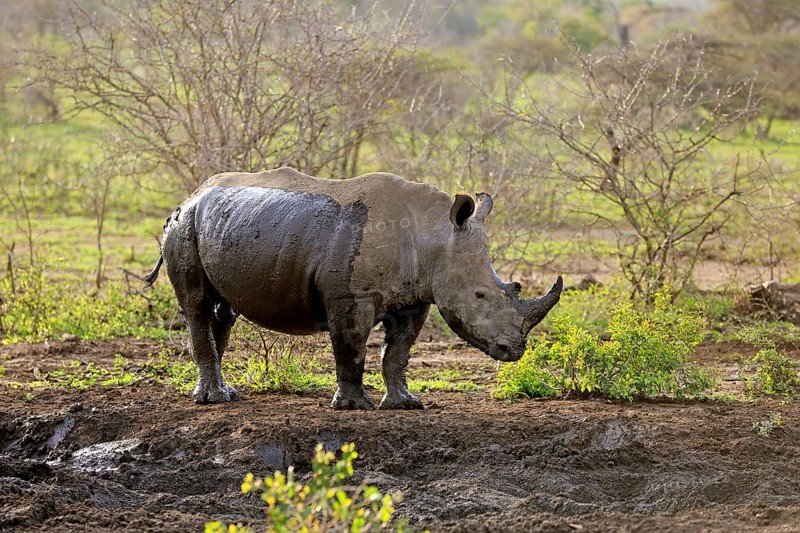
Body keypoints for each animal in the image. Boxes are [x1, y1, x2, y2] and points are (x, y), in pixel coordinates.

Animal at [143, 167, 562, 409]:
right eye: (479, 295)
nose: (514, 350)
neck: (435, 234)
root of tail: (190, 195)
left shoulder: (417, 296)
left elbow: (398, 352)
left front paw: (404, 404)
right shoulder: (349, 295)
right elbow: (352, 346)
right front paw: (353, 406)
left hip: (224, 224)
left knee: (223, 311)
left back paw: (224, 394)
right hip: (183, 226)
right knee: (196, 304)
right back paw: (212, 400)